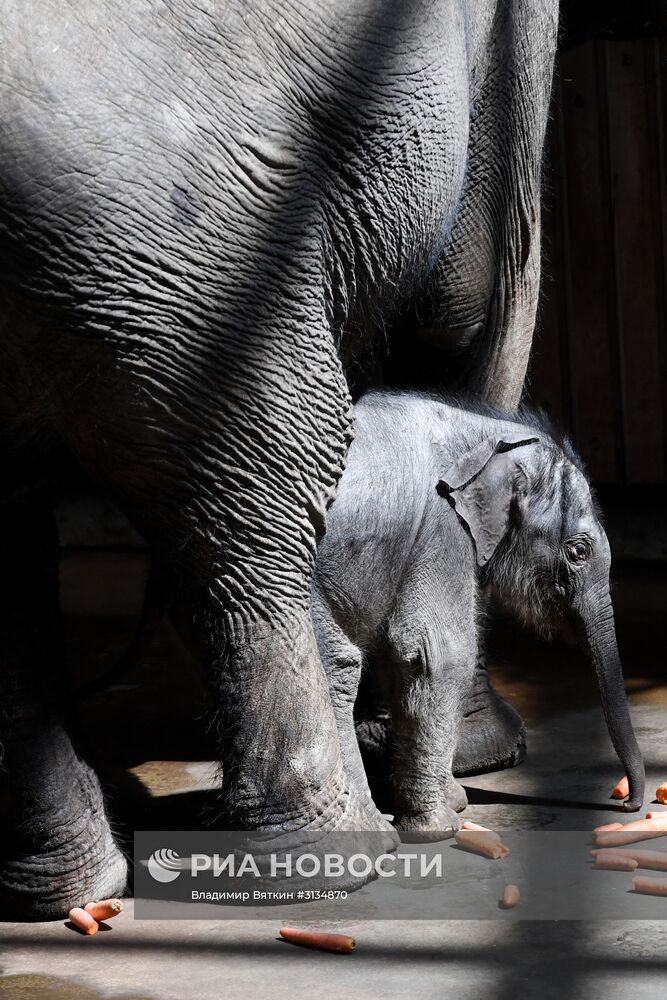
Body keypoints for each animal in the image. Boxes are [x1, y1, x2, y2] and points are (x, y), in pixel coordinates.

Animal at [314, 390, 648, 836]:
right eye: (578, 552)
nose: (627, 803)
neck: (483, 431)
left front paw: (454, 801)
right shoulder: (442, 524)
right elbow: (437, 653)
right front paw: (439, 826)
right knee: (337, 666)